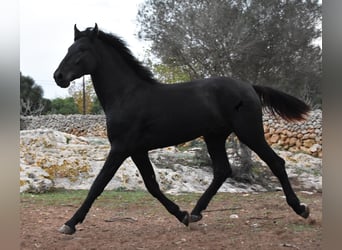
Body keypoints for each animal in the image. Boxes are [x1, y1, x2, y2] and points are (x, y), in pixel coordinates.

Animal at [52, 23, 310, 234]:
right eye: (68, 48)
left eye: (81, 50)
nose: (58, 76)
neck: (127, 96)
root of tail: (249, 86)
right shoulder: (137, 150)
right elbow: (152, 185)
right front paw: (182, 215)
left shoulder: (121, 148)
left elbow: (98, 184)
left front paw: (69, 224)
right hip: (214, 136)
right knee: (222, 170)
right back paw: (195, 213)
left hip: (249, 132)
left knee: (276, 162)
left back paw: (301, 209)